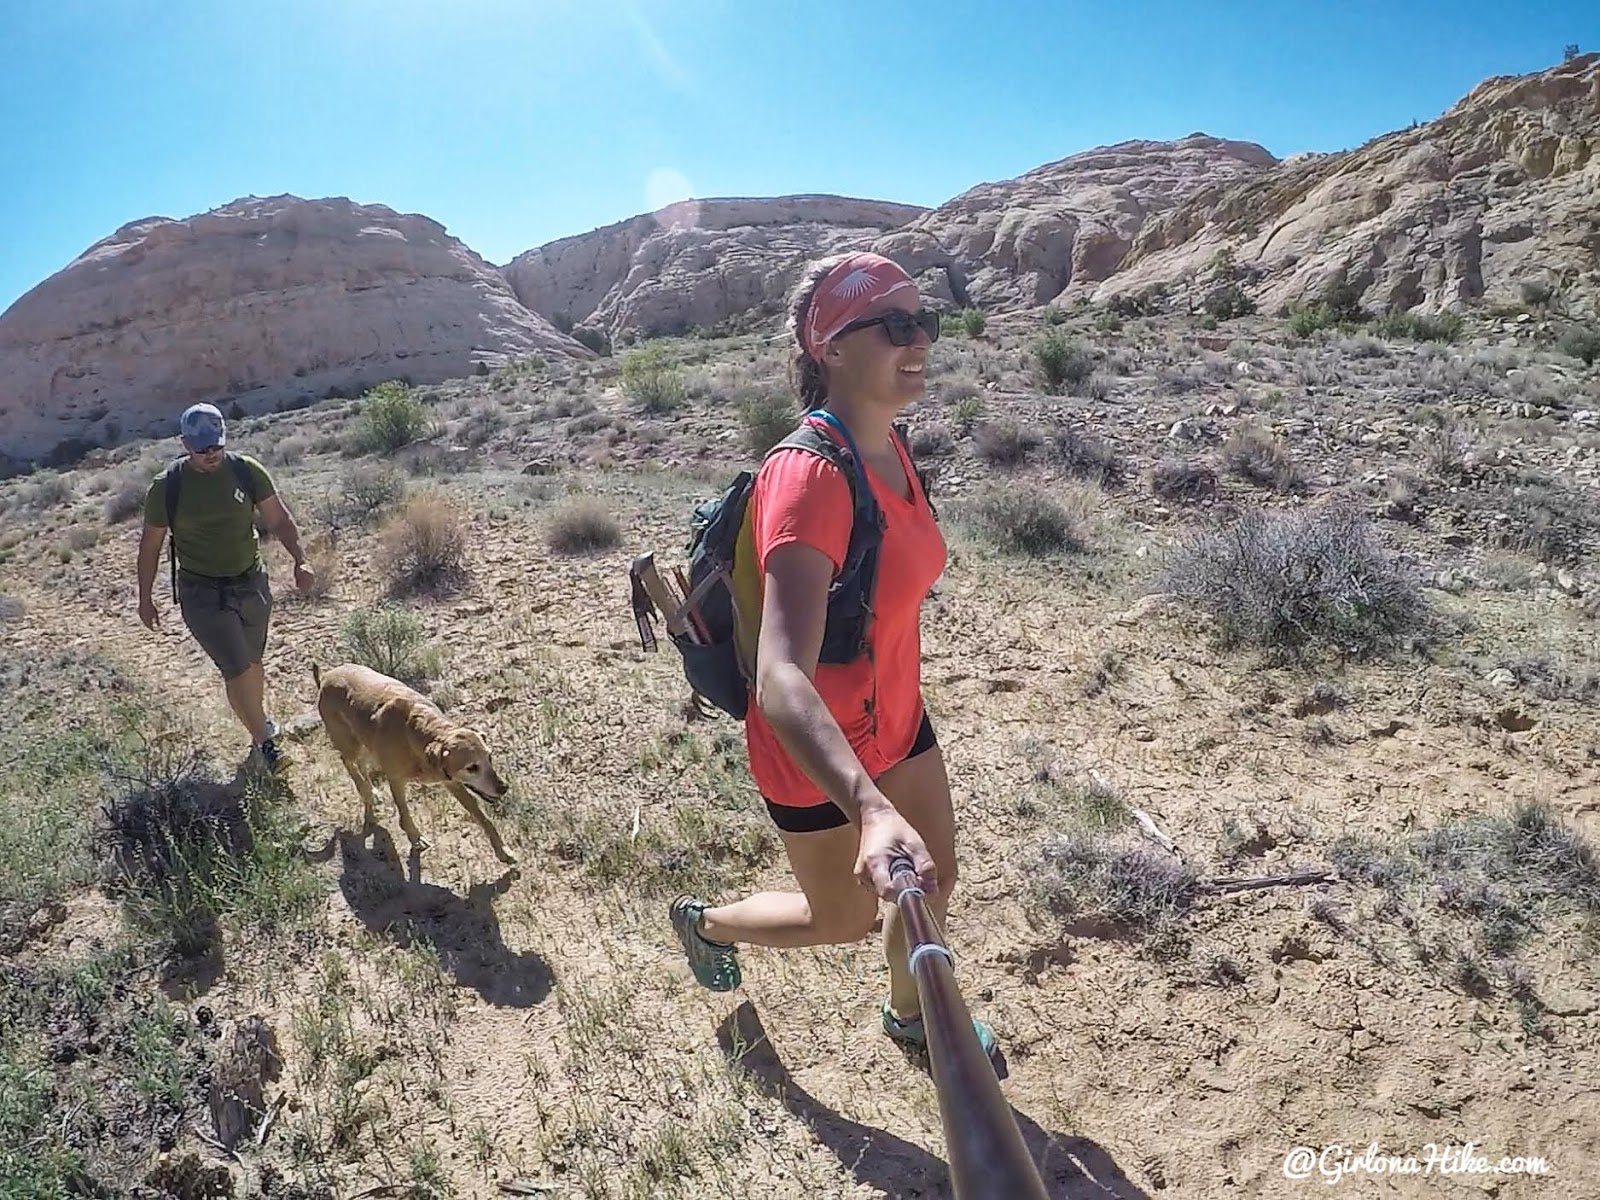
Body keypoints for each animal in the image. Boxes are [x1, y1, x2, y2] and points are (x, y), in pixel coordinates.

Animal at [308, 668, 515, 864]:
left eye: (490, 757)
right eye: (471, 767)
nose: (503, 788)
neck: (417, 735)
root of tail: (327, 675)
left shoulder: (451, 781)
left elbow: (483, 817)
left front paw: (502, 850)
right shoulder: (396, 779)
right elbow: (404, 812)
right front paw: (415, 837)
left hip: (365, 742)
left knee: (361, 763)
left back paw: (372, 792)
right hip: (350, 743)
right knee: (348, 761)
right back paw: (366, 792)